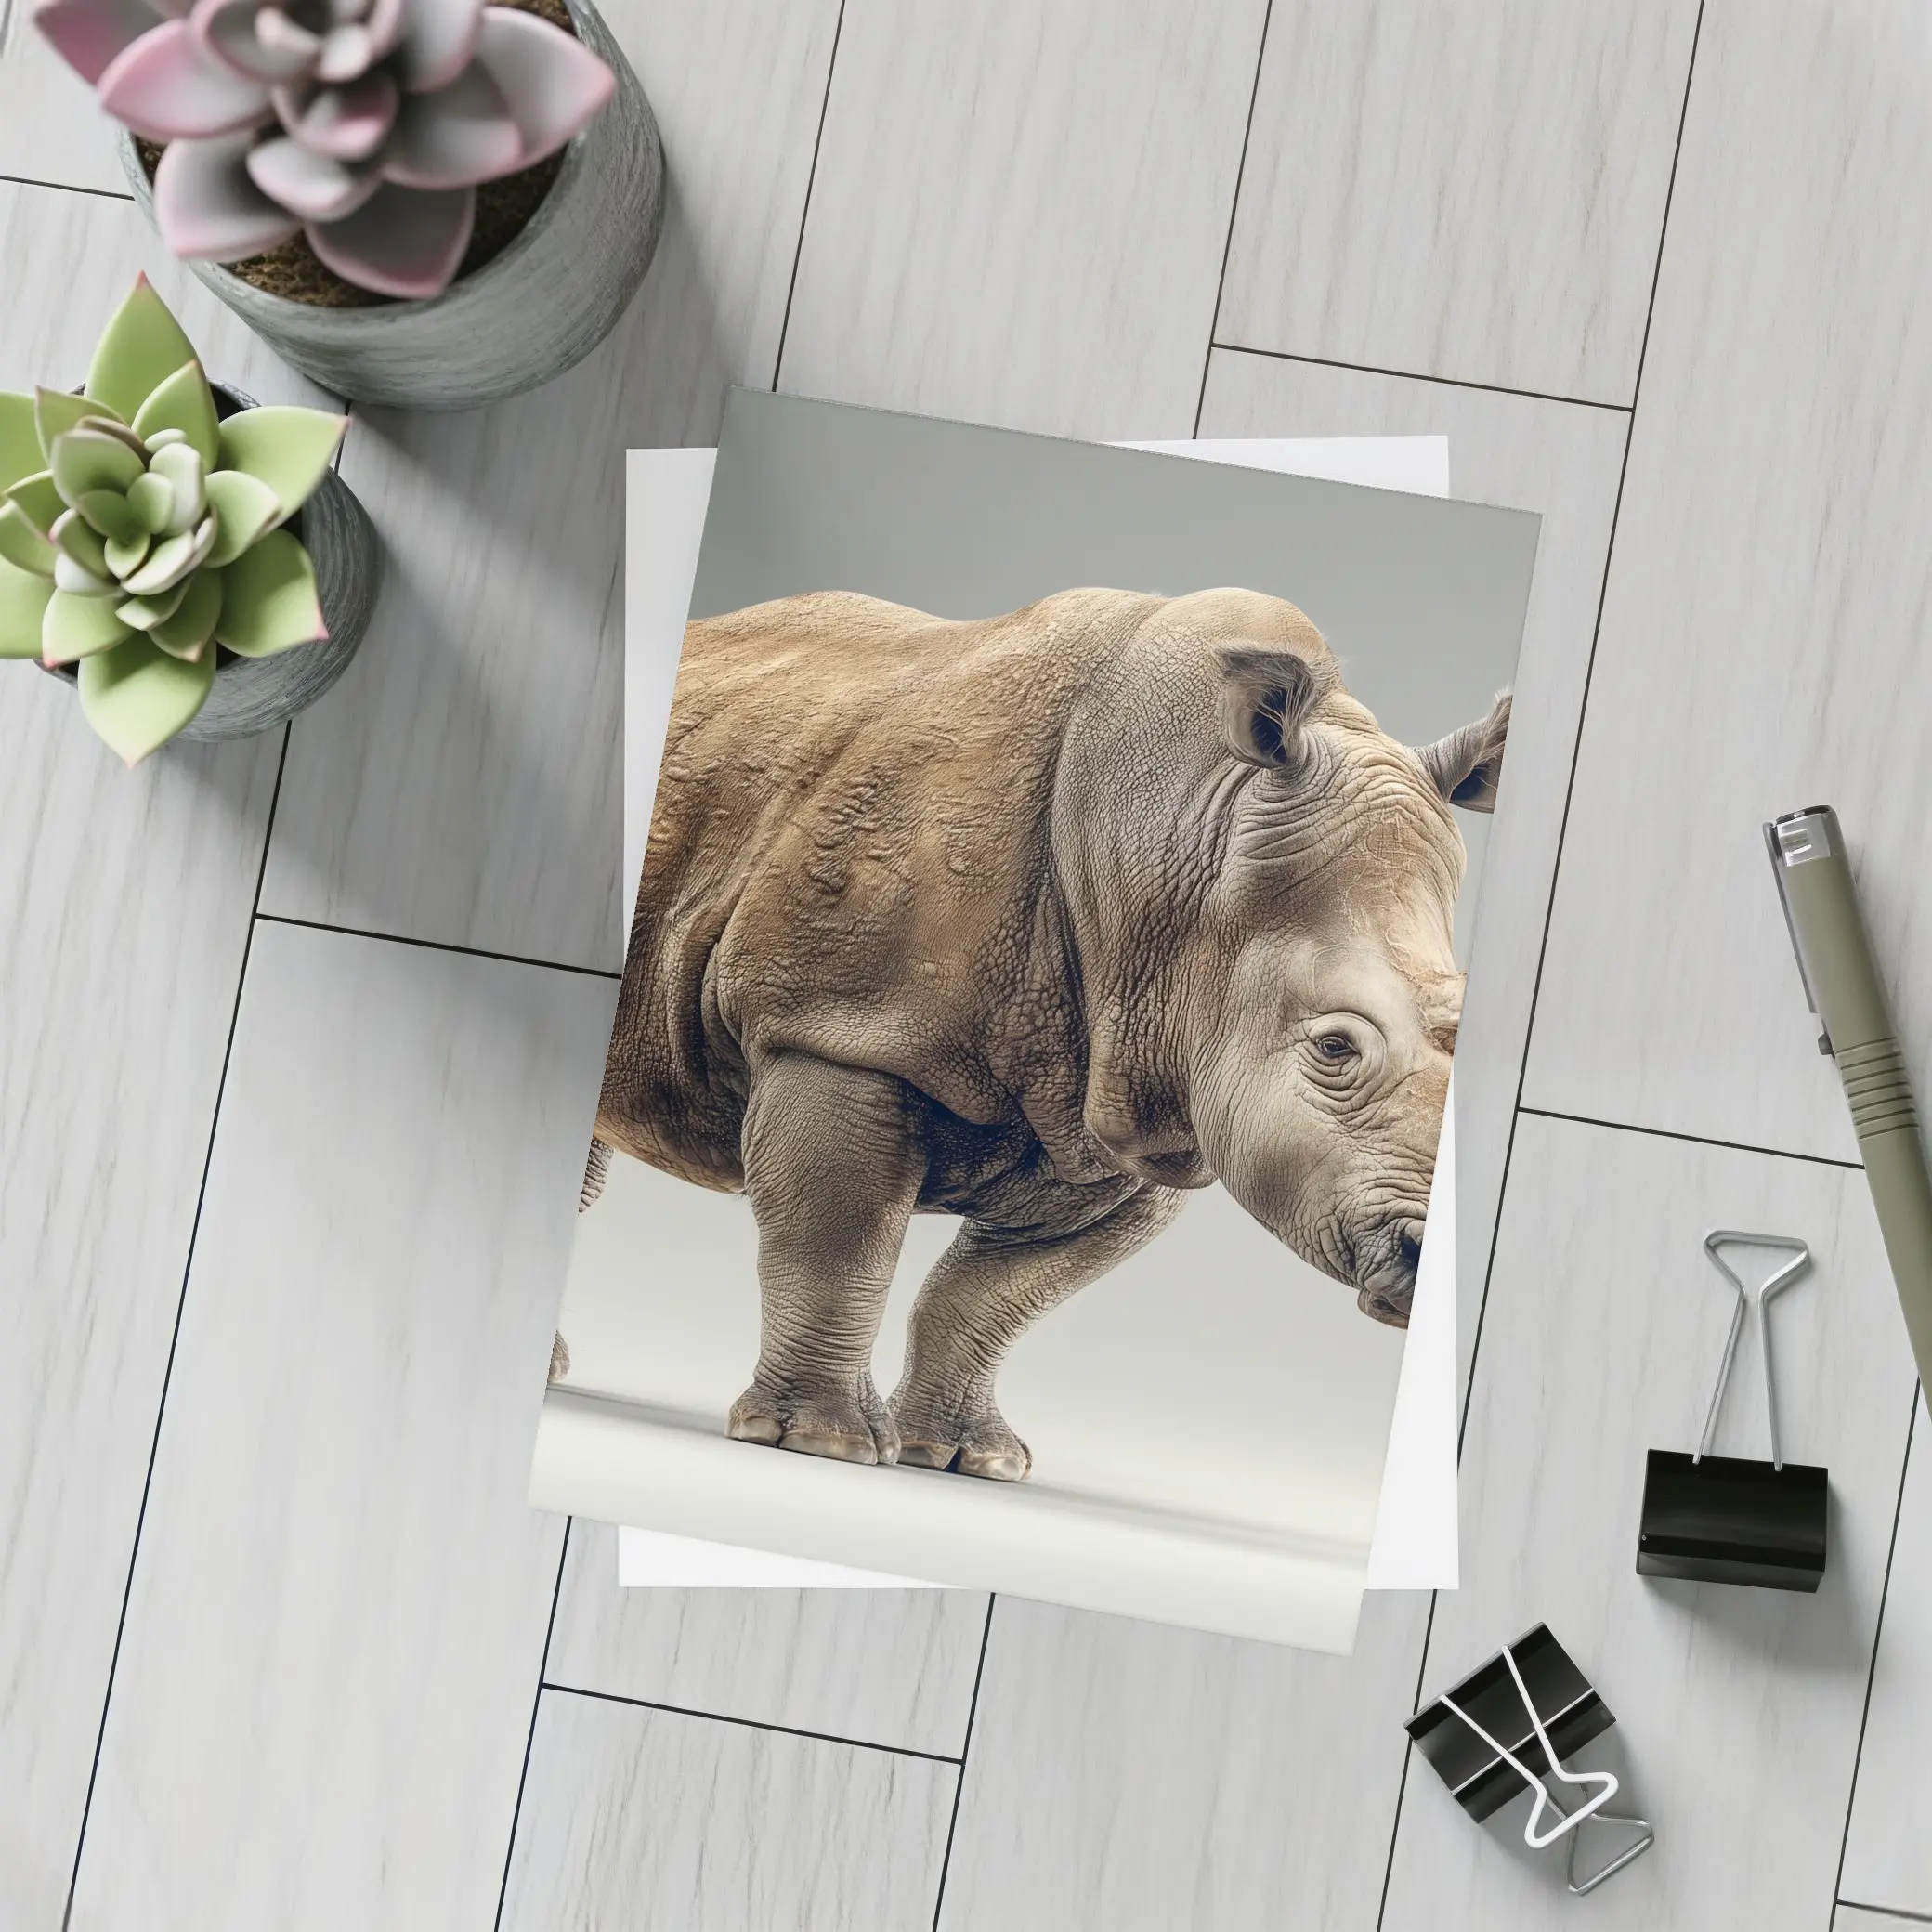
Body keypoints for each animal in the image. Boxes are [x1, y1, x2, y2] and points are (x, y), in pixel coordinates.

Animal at [581, 586, 1508, 1481]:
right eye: (1335, 1049)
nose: (1426, 1265)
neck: (1182, 845)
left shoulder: (1143, 1109)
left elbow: (998, 1295)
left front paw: (966, 1461)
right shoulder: (838, 1027)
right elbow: (838, 1245)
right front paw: (818, 1444)